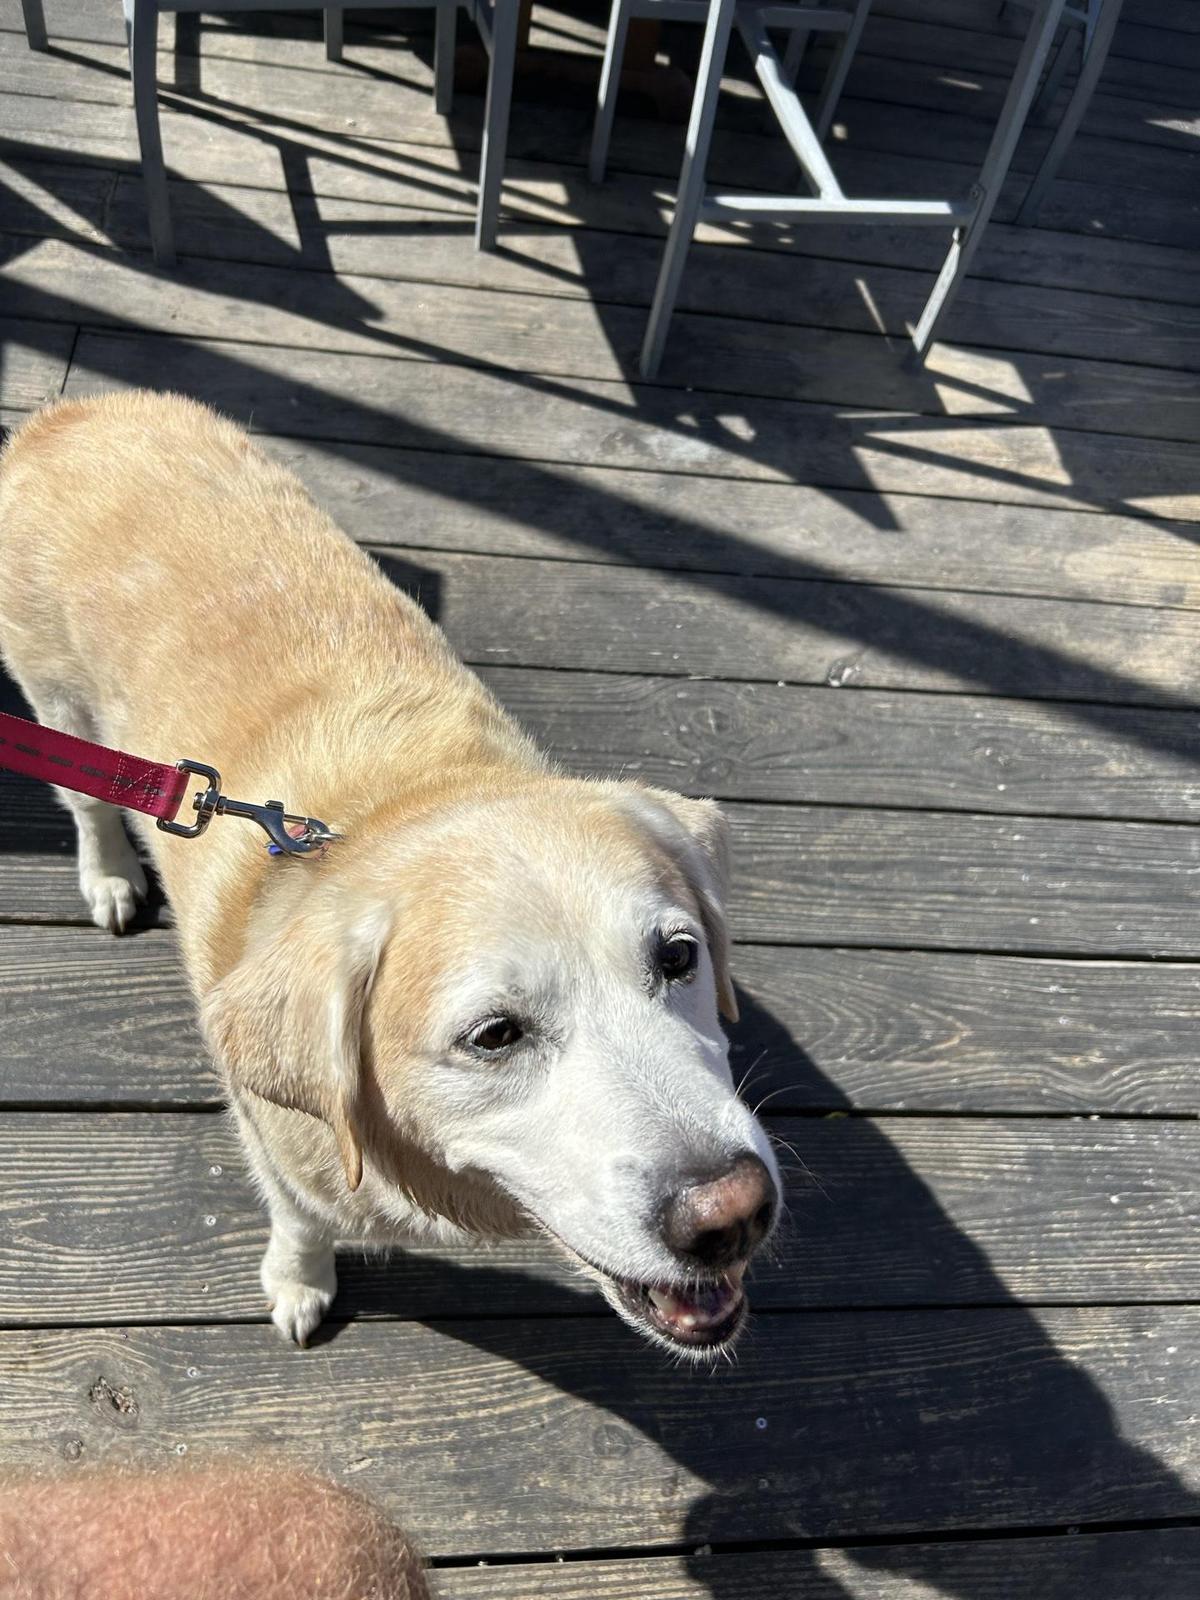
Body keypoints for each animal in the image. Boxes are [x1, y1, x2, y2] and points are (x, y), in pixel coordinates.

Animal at [0, 393, 780, 1356]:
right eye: (494, 1036)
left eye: (678, 958)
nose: (734, 1215)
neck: (402, 801)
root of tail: (77, 407)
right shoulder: (277, 1147)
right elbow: (300, 1219)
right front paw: (299, 1282)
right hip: (57, 709)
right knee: (87, 804)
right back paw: (109, 875)